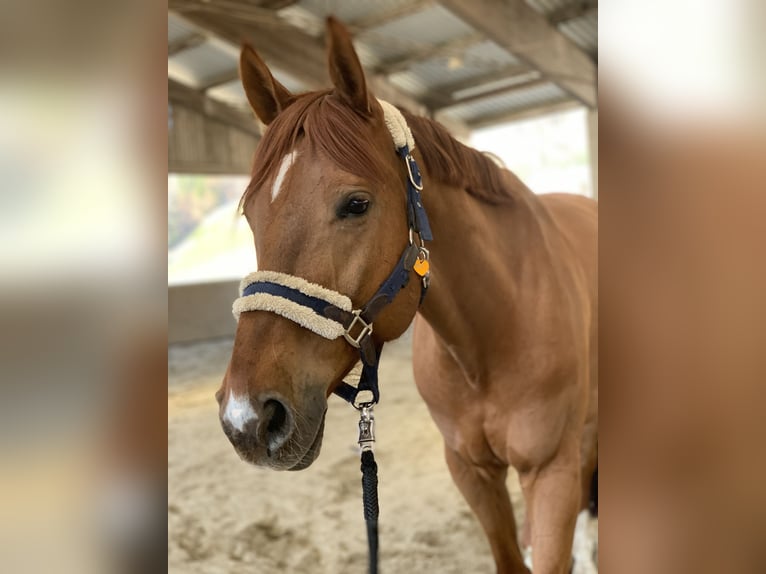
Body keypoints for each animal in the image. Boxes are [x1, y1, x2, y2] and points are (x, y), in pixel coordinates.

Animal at [216, 17, 598, 574]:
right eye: (252, 215)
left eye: (356, 204)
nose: (246, 418)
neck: (492, 338)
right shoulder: (470, 471)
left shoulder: (553, 474)